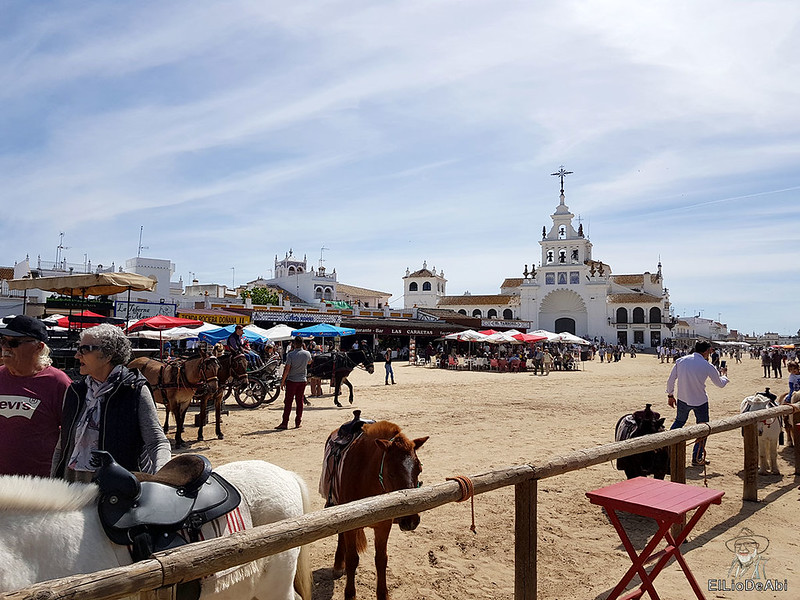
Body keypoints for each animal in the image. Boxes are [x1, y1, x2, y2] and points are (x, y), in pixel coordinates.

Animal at [320, 414, 428, 600]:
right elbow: (352, 559)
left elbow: (381, 559)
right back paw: (338, 564)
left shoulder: (383, 525)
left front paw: (383, 594)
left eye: (419, 470)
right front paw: (350, 594)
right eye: (391, 473)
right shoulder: (350, 524)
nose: (411, 520)